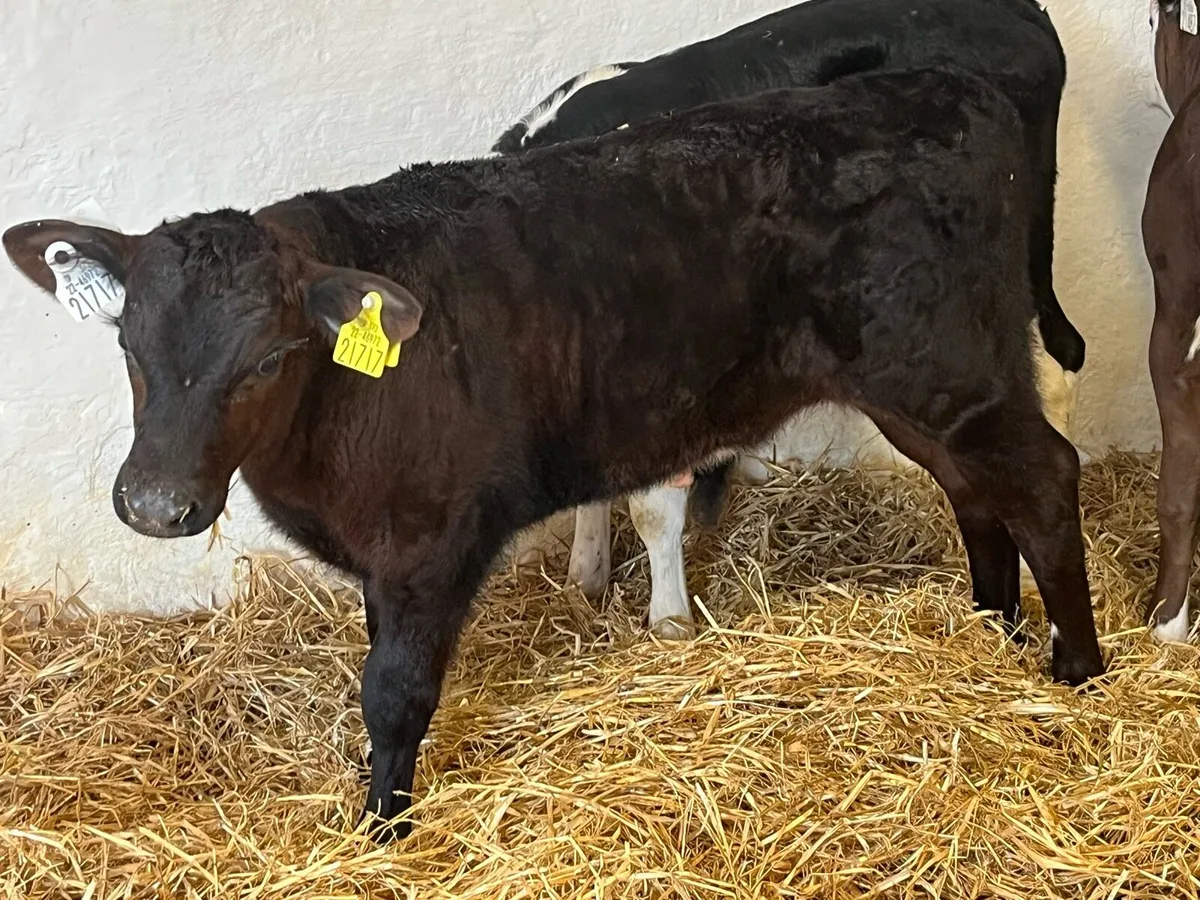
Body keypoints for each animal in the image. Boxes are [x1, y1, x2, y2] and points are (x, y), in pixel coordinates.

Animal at [4, 69, 1107, 841]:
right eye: (129, 346)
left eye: (271, 356)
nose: (156, 505)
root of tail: (943, 87)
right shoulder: (381, 550)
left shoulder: (433, 536)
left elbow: (394, 692)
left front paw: (384, 828)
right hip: (922, 386)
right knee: (975, 489)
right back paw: (991, 630)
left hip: (951, 366)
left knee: (1044, 478)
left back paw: (1079, 670)